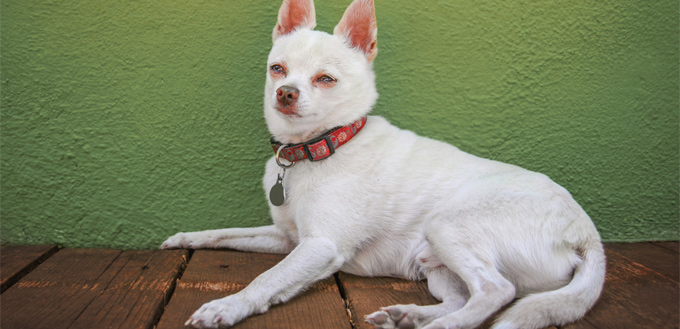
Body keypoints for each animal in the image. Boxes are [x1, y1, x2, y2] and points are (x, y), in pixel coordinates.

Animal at [161, 0, 604, 328]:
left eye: (325, 79)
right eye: (277, 69)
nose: (285, 92)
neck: (316, 150)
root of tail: (585, 233)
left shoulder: (320, 246)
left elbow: (266, 278)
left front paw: (226, 306)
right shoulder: (287, 239)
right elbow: (226, 233)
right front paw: (185, 237)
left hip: (448, 225)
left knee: (496, 292)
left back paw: (437, 325)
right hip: (435, 264)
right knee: (464, 297)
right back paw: (407, 315)